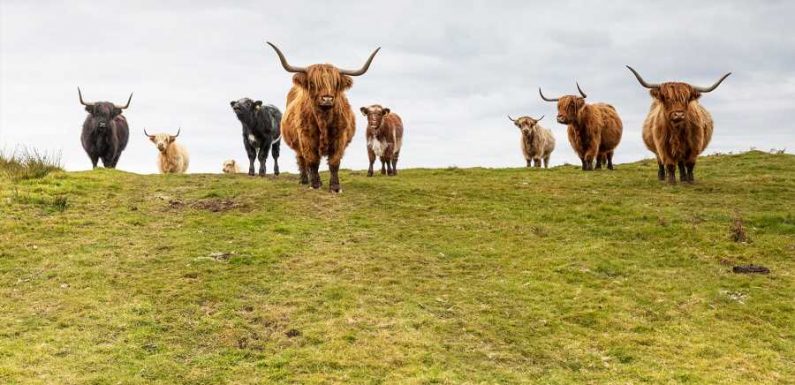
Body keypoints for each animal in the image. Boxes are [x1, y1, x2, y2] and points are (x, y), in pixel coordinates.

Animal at [266, 42, 380, 192]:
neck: (324, 120)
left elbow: (334, 162)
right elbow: (312, 161)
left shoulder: (340, 138)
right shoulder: (306, 138)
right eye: (313, 83)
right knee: (302, 159)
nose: (327, 99)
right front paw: (315, 185)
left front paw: (335, 187)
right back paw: (304, 180)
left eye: (336, 84)